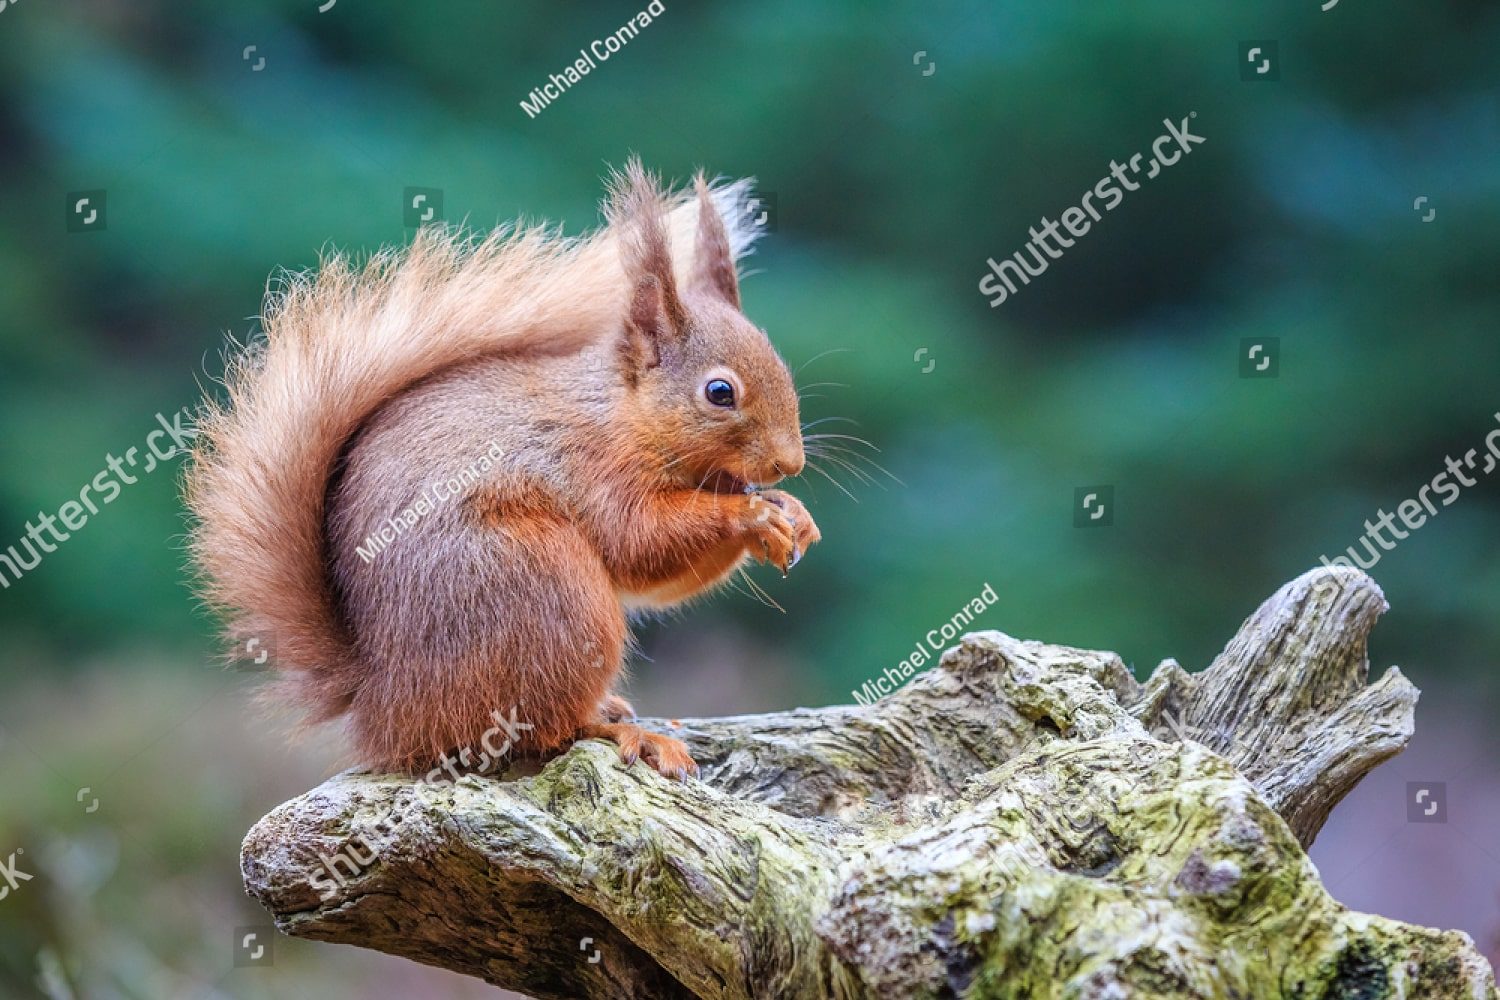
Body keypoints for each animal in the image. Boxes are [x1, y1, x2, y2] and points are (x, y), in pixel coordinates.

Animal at [186, 162, 819, 780]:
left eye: (782, 366)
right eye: (719, 392)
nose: (790, 463)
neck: (622, 414)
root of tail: (383, 705)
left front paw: (793, 516)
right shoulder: (590, 468)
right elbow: (639, 542)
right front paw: (751, 514)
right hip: (544, 591)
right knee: (542, 728)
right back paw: (623, 731)